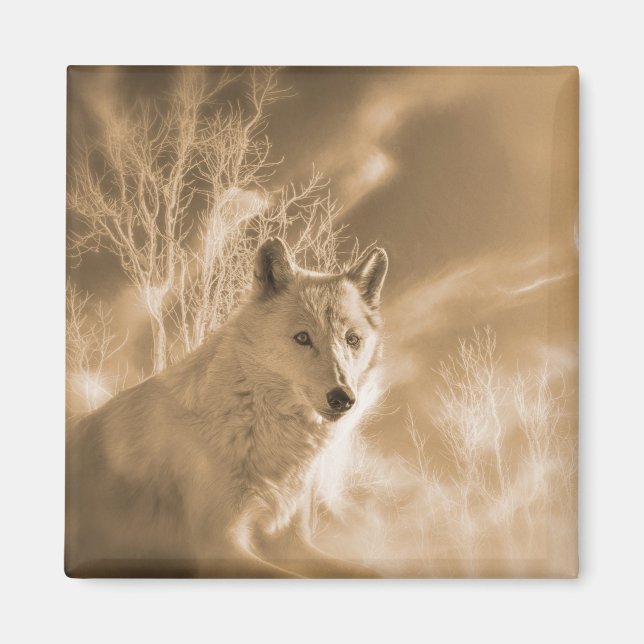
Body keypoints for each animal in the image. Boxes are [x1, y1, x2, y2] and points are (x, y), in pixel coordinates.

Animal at [65, 237, 388, 578]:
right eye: (302, 338)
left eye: (352, 340)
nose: (342, 397)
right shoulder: (219, 548)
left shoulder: (291, 542)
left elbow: (375, 573)